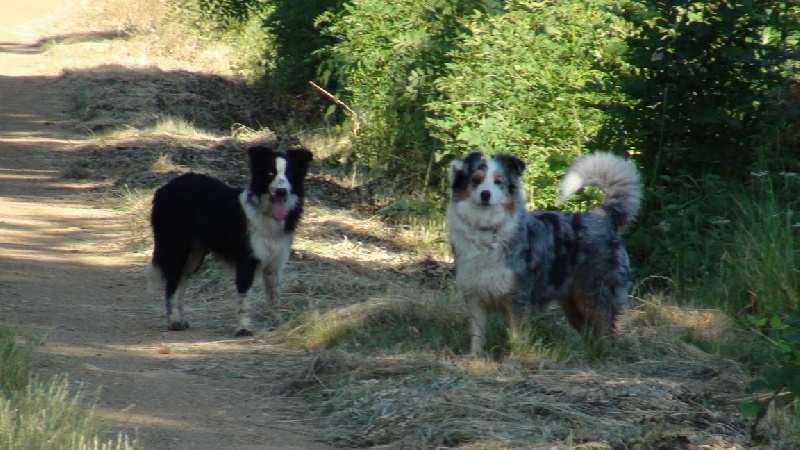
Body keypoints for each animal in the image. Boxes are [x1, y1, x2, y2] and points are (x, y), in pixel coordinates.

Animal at [146, 142, 312, 336]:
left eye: (290, 174)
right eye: (270, 173)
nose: (281, 191)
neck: (267, 214)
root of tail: (164, 188)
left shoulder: (275, 263)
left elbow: (274, 297)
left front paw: (279, 324)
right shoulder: (247, 260)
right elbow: (244, 298)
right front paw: (244, 328)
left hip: (194, 255)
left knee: (181, 283)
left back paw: (182, 319)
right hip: (178, 248)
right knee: (172, 284)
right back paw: (174, 321)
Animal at [450, 153, 644, 354]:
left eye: (498, 182)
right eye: (476, 180)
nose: (485, 194)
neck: (488, 230)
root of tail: (603, 216)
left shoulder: (517, 295)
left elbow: (517, 336)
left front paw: (517, 358)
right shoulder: (474, 294)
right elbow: (477, 333)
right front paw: (475, 356)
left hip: (597, 294)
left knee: (607, 331)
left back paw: (604, 354)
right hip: (573, 303)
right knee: (590, 331)